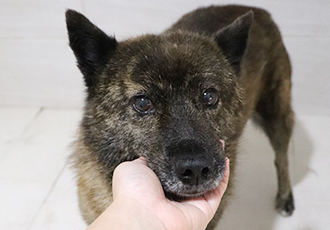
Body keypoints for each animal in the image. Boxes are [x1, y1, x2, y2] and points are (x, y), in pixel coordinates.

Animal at [65, 4, 296, 228]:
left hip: (277, 115)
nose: (195, 169)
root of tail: (260, 11)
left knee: (282, 158)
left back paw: (285, 196)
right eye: (142, 102)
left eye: (209, 96)